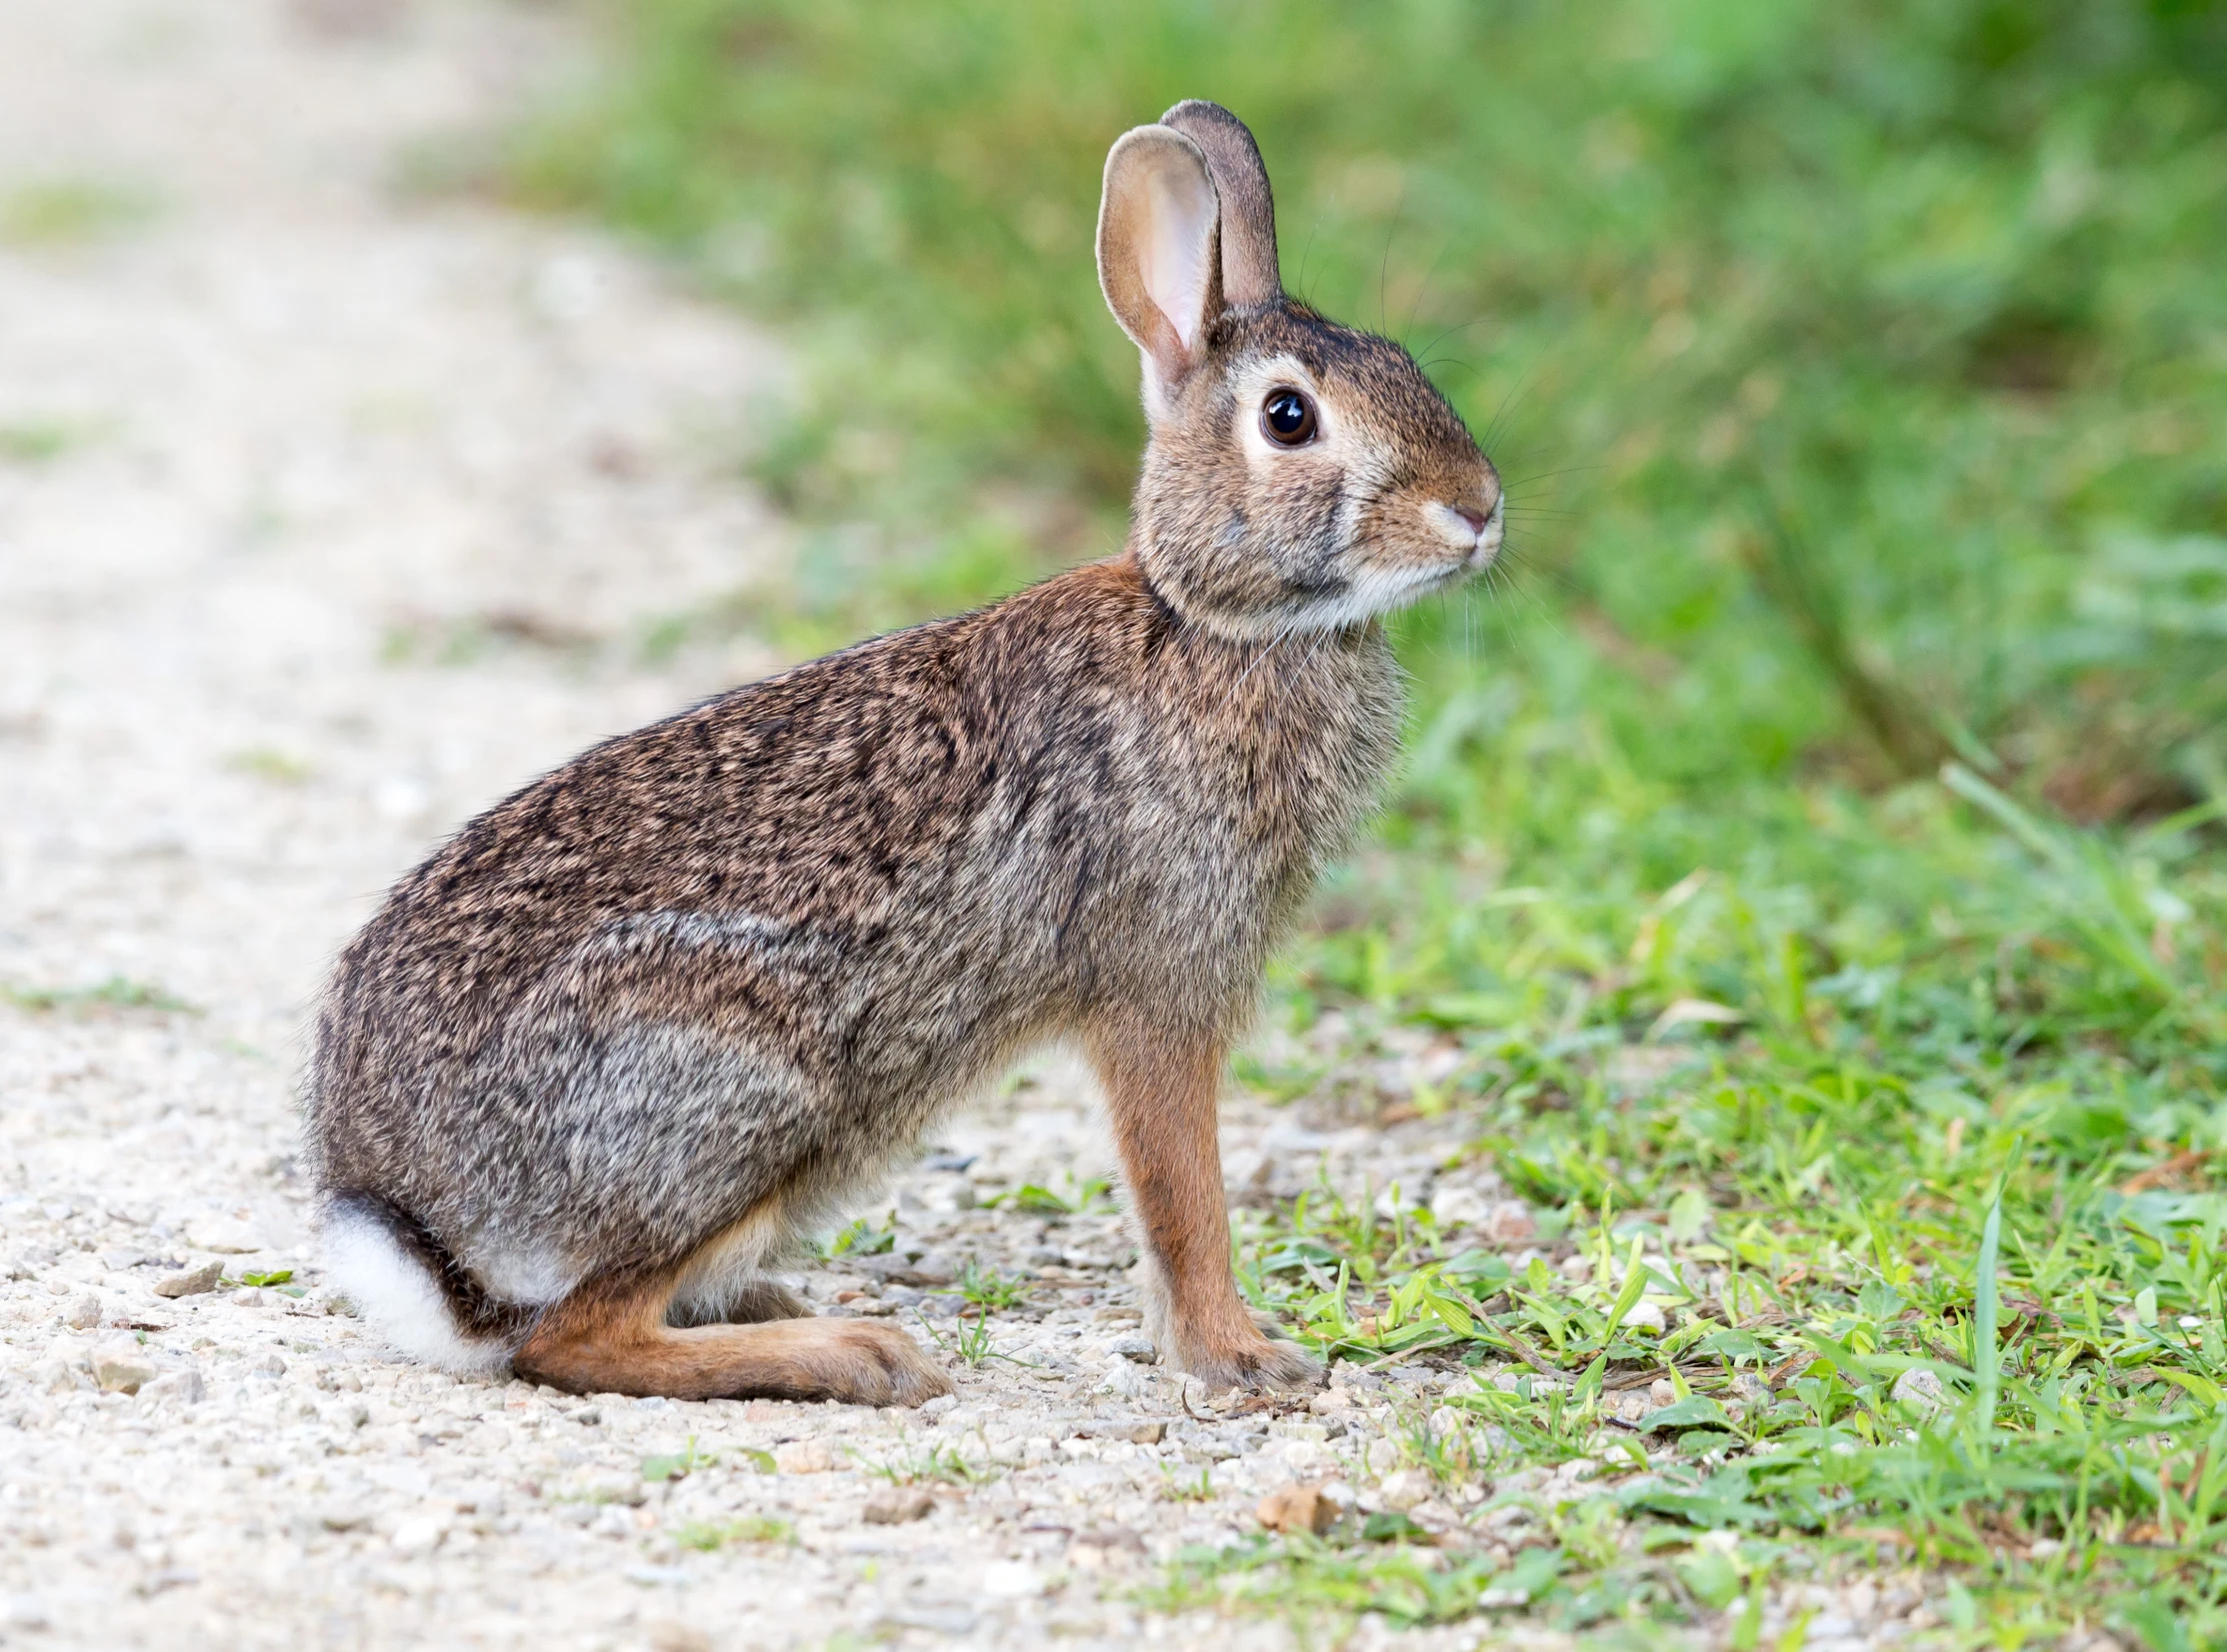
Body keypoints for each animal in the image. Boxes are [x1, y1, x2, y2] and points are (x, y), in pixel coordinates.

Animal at [305, 100, 1505, 1406]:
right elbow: (1181, 1191)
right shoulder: (1159, 981)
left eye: (1402, 361)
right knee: (574, 1338)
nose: (1477, 509)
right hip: (745, 1097)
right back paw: (853, 1351)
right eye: (1290, 418)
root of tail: (415, 1222)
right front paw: (1238, 1356)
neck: (1209, 623)